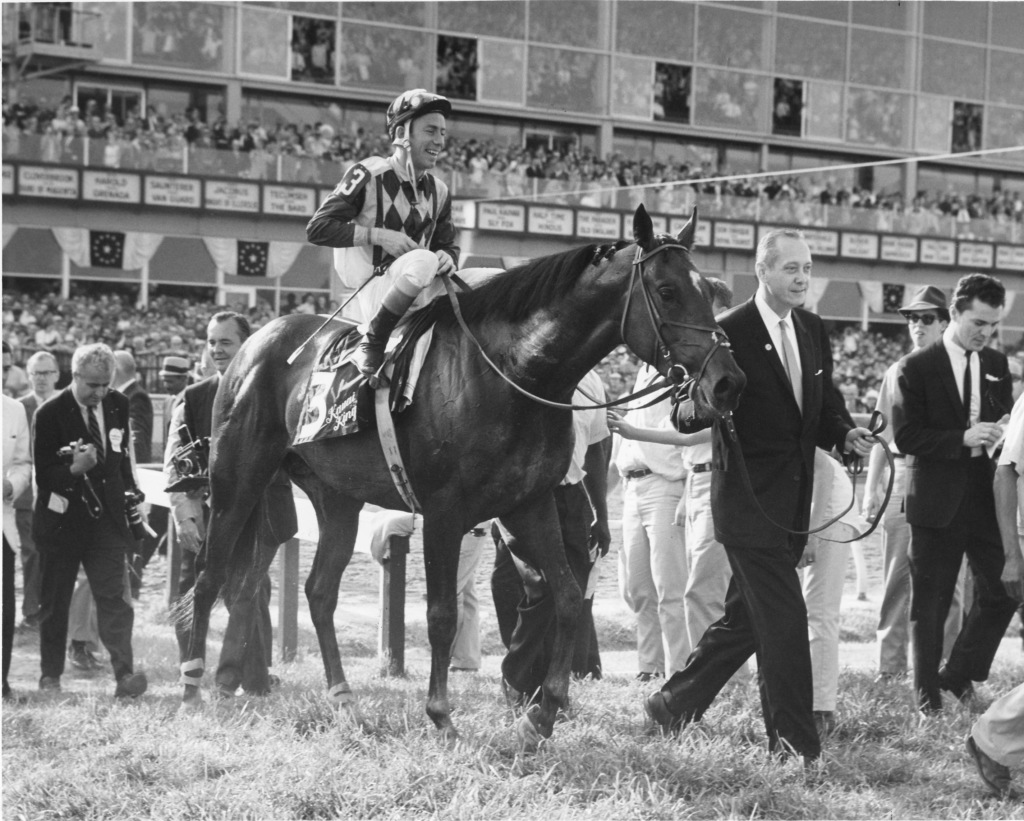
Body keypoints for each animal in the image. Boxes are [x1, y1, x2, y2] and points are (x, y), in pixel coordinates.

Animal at [180, 202, 745, 741]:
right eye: (668, 291)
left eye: (708, 291)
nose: (726, 381)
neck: (512, 373)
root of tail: (257, 342)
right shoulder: (444, 514)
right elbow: (441, 614)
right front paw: (441, 715)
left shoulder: (529, 504)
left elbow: (565, 596)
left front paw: (543, 712)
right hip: (236, 478)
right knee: (209, 577)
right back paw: (192, 688)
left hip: (337, 497)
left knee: (318, 591)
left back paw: (343, 698)